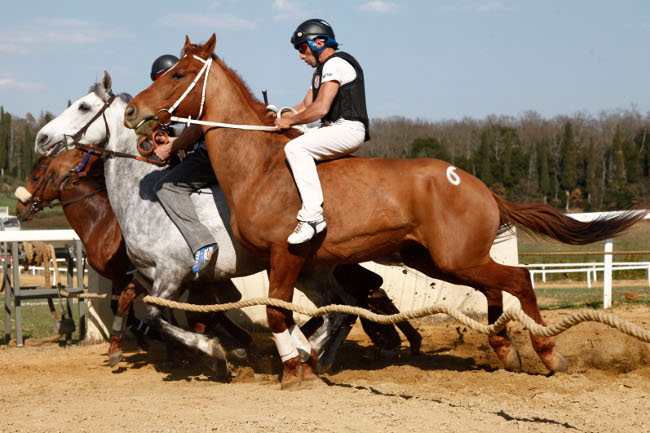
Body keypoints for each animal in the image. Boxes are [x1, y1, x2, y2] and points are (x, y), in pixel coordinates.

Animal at [34, 71, 364, 374]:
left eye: (83, 107)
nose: (42, 139)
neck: (145, 203)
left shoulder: (171, 275)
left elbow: (157, 317)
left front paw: (215, 352)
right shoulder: (149, 276)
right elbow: (152, 309)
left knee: (340, 310)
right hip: (311, 271)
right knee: (342, 310)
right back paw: (316, 356)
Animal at [124, 34, 644, 388]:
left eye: (175, 75)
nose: (132, 113)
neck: (261, 165)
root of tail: (477, 184)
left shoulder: (286, 256)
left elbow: (276, 313)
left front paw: (294, 369)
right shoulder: (303, 264)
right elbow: (304, 316)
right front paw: (303, 361)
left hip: (454, 258)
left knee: (518, 279)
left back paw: (547, 352)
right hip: (438, 260)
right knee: (495, 286)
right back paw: (504, 349)